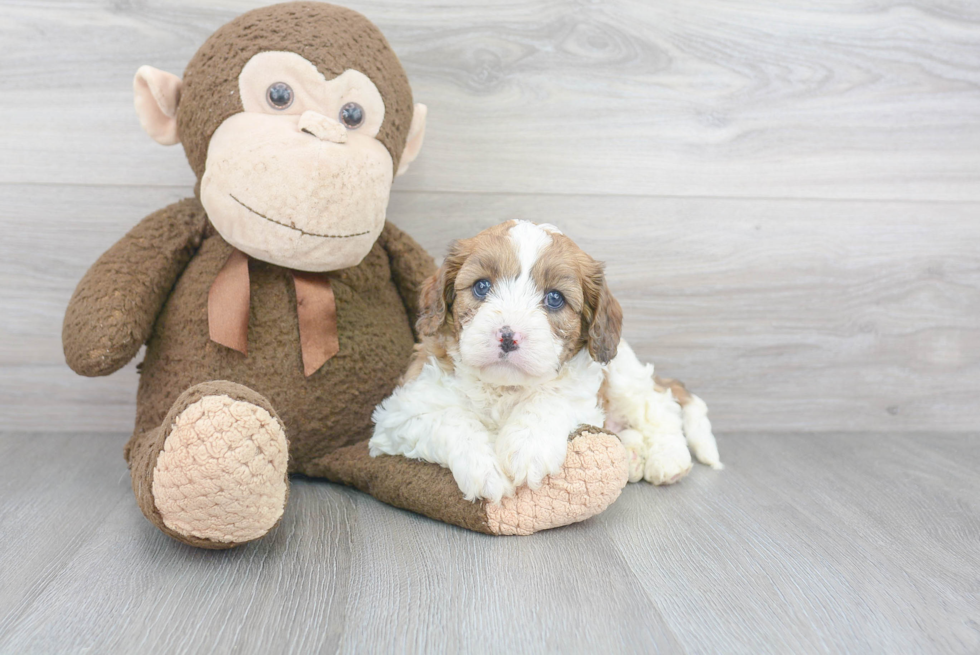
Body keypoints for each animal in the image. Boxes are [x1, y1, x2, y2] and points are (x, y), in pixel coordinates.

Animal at [368, 220, 720, 502]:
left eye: (554, 298)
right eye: (482, 286)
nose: (508, 336)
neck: (503, 388)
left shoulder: (581, 390)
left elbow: (550, 397)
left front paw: (528, 446)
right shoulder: (399, 415)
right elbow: (451, 419)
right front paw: (485, 470)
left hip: (622, 375)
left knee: (660, 405)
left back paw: (669, 458)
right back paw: (633, 455)